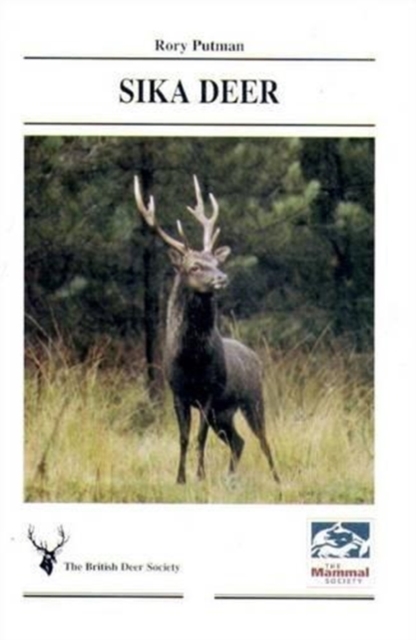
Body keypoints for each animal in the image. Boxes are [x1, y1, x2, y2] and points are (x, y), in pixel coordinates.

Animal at [134, 175, 279, 485]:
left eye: (216, 261)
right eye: (194, 266)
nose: (221, 277)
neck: (192, 359)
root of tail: (254, 357)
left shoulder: (209, 392)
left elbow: (199, 438)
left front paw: (199, 476)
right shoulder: (178, 393)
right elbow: (184, 438)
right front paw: (180, 478)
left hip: (252, 398)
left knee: (263, 440)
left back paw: (277, 479)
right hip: (223, 413)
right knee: (238, 441)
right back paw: (231, 478)